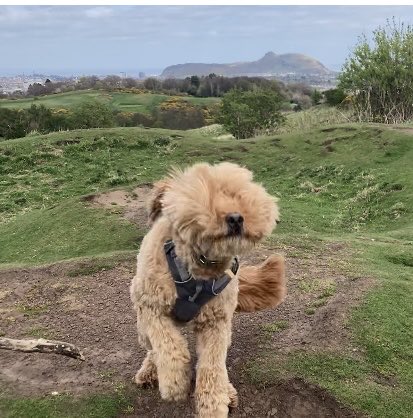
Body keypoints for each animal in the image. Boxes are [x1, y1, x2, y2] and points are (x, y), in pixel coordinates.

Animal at [129, 162, 284, 418]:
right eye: (203, 194)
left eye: (238, 194)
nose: (236, 218)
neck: (199, 267)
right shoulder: (152, 307)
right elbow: (168, 345)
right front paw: (175, 383)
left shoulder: (216, 322)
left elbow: (212, 364)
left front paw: (214, 403)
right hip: (142, 324)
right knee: (152, 348)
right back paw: (150, 371)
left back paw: (228, 391)